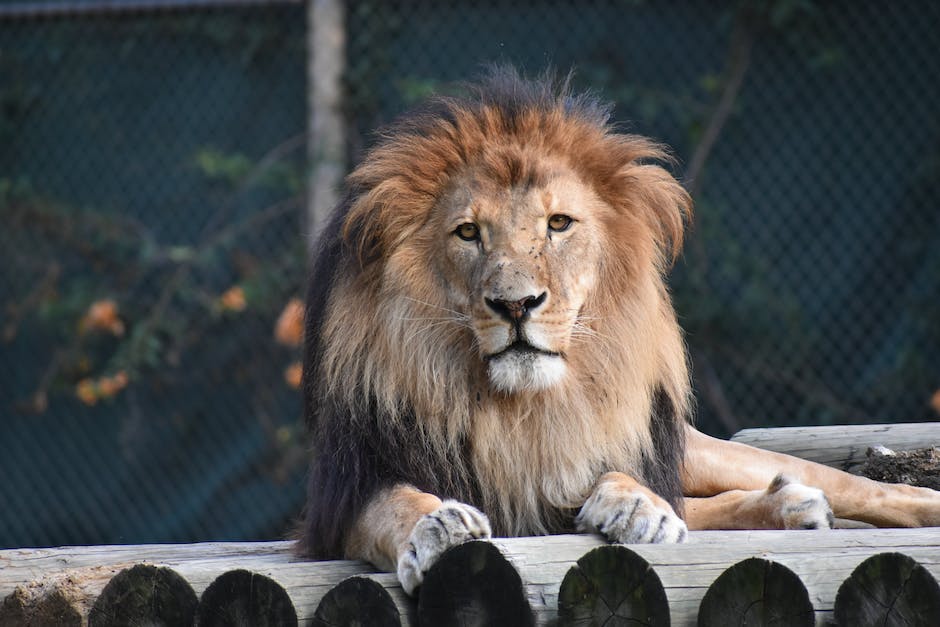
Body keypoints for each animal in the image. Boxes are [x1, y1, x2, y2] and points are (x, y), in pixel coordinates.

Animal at [298, 70, 940, 600]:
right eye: (468, 233)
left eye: (558, 224)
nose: (516, 305)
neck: (523, 410)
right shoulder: (340, 497)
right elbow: (395, 505)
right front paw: (436, 526)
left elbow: (624, 474)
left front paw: (634, 503)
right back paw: (793, 505)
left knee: (833, 482)